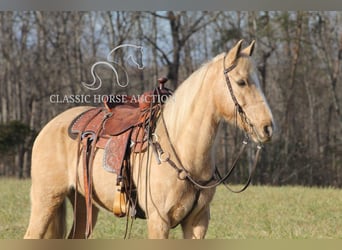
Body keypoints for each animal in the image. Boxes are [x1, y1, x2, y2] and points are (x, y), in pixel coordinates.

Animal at [24, 40, 274, 239]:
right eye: (241, 82)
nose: (267, 127)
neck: (181, 151)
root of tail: (48, 127)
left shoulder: (197, 222)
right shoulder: (158, 221)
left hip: (84, 205)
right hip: (46, 201)